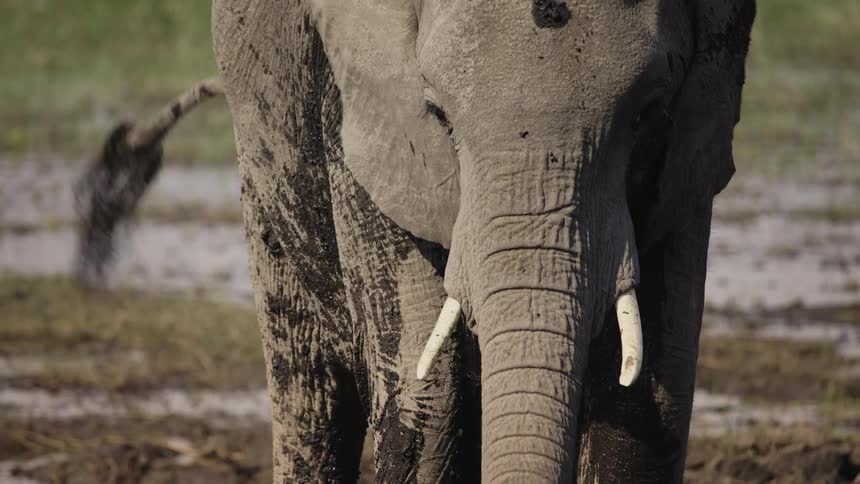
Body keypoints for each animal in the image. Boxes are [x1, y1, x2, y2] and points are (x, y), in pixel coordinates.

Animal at [87, 0, 755, 481]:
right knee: (309, 403)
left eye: (649, 114)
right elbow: (430, 411)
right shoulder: (361, 119)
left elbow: (644, 416)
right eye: (438, 116)